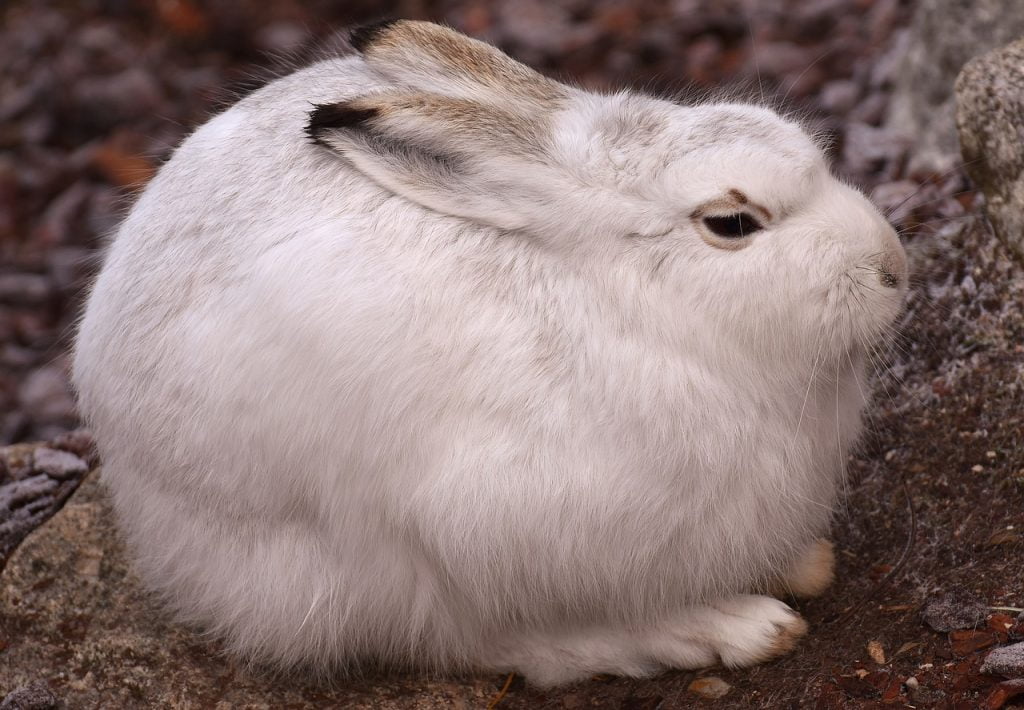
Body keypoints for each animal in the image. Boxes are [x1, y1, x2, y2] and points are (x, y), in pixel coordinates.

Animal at [72, 20, 907, 687]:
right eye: (731, 224)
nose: (894, 267)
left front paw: (802, 561)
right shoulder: (501, 522)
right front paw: (741, 619)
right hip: (373, 563)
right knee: (493, 644)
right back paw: (737, 627)